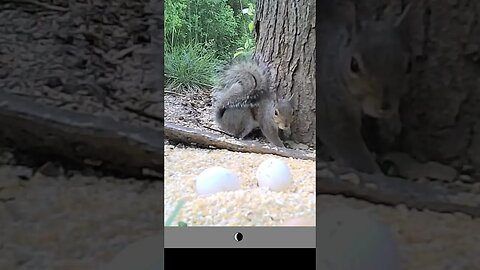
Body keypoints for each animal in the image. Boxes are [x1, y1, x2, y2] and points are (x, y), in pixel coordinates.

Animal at [316, 1, 418, 174]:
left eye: (410, 65)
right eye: (354, 65)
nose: (385, 107)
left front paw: (391, 125)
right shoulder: (330, 106)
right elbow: (348, 145)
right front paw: (374, 171)